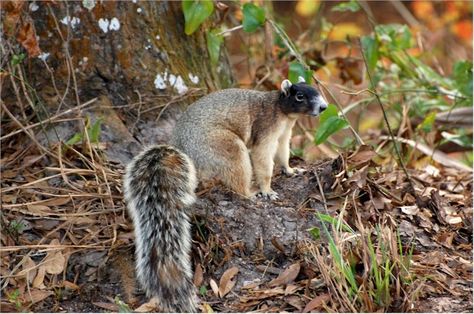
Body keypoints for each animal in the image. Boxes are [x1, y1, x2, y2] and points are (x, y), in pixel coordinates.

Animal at [124, 78, 328, 312]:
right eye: (300, 96)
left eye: (316, 90)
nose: (324, 107)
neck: (282, 112)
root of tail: (186, 154)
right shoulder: (265, 129)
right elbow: (263, 159)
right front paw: (267, 190)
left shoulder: (284, 134)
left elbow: (283, 153)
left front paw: (290, 169)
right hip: (226, 147)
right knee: (237, 176)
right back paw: (250, 193)